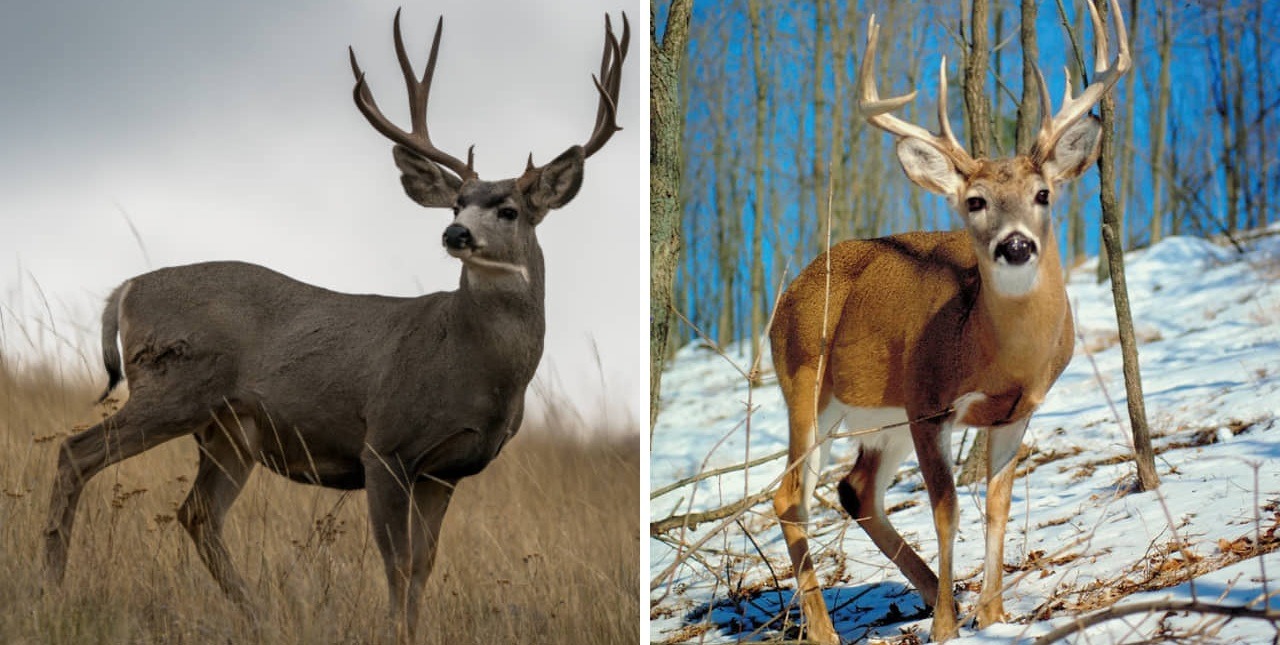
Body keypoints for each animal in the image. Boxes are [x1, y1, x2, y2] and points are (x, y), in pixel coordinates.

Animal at [43, 10, 627, 642]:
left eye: (509, 209)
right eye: (457, 204)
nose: (455, 234)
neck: (475, 368)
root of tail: (125, 289)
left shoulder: (446, 471)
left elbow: (423, 565)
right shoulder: (386, 446)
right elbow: (397, 563)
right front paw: (395, 632)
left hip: (229, 432)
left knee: (197, 513)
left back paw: (258, 616)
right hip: (173, 388)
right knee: (76, 454)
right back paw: (51, 588)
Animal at [769, 0, 1128, 641]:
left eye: (1043, 193)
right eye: (975, 201)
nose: (1016, 245)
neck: (995, 354)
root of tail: (789, 294)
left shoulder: (1018, 409)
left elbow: (997, 503)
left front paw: (992, 612)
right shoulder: (929, 403)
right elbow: (947, 509)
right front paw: (945, 627)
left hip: (880, 416)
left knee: (855, 491)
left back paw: (937, 591)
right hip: (806, 385)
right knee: (791, 495)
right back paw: (828, 627)